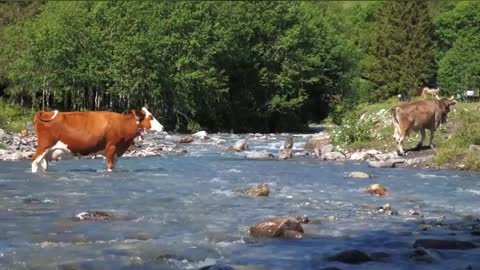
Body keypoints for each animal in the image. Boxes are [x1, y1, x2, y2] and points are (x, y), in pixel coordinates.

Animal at [31, 106, 164, 172]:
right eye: (151, 117)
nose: (162, 127)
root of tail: (45, 113)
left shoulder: (117, 151)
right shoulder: (111, 147)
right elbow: (110, 166)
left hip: (47, 151)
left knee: (44, 164)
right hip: (44, 146)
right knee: (35, 161)